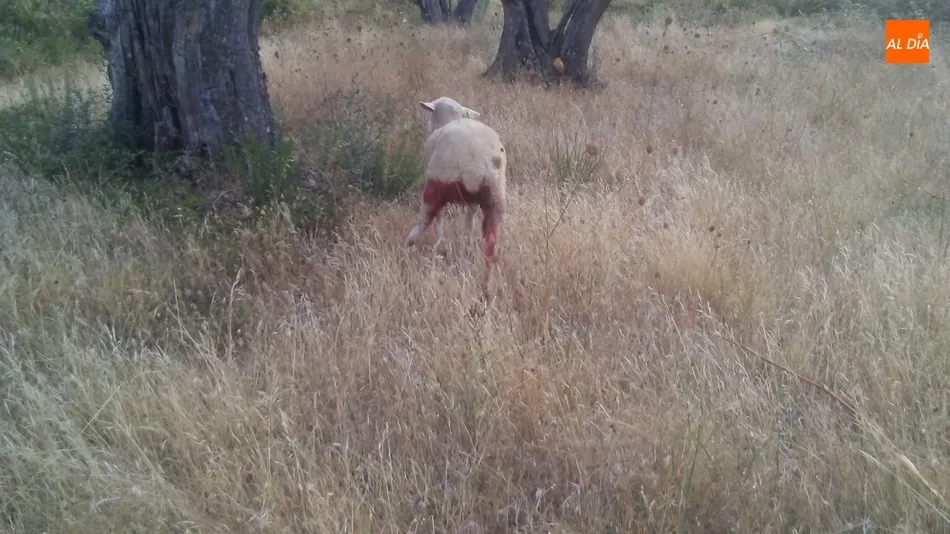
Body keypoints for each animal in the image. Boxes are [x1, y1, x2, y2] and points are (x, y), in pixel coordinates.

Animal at [405, 97, 508, 295]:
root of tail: (477, 163)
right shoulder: (472, 202)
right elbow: (468, 222)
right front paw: (466, 244)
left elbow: (439, 219)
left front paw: (444, 245)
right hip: (495, 196)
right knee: (491, 241)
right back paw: (486, 286)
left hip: (436, 186)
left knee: (426, 219)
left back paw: (409, 245)